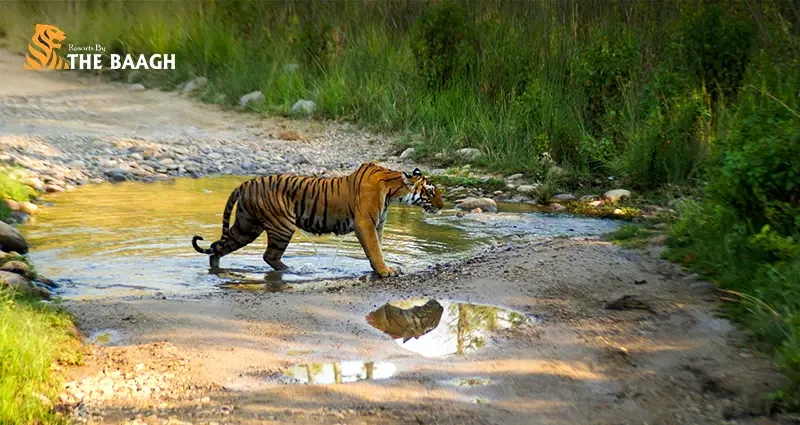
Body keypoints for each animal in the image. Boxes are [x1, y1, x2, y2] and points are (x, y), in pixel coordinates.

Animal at [192, 162, 444, 277]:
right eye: (431, 191)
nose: (442, 206)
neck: (393, 191)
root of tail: (246, 183)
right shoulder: (365, 224)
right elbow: (374, 249)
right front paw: (385, 271)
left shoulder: (378, 224)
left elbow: (377, 248)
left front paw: (381, 268)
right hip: (282, 226)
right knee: (269, 256)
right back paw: (292, 270)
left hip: (246, 226)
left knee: (217, 246)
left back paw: (216, 268)